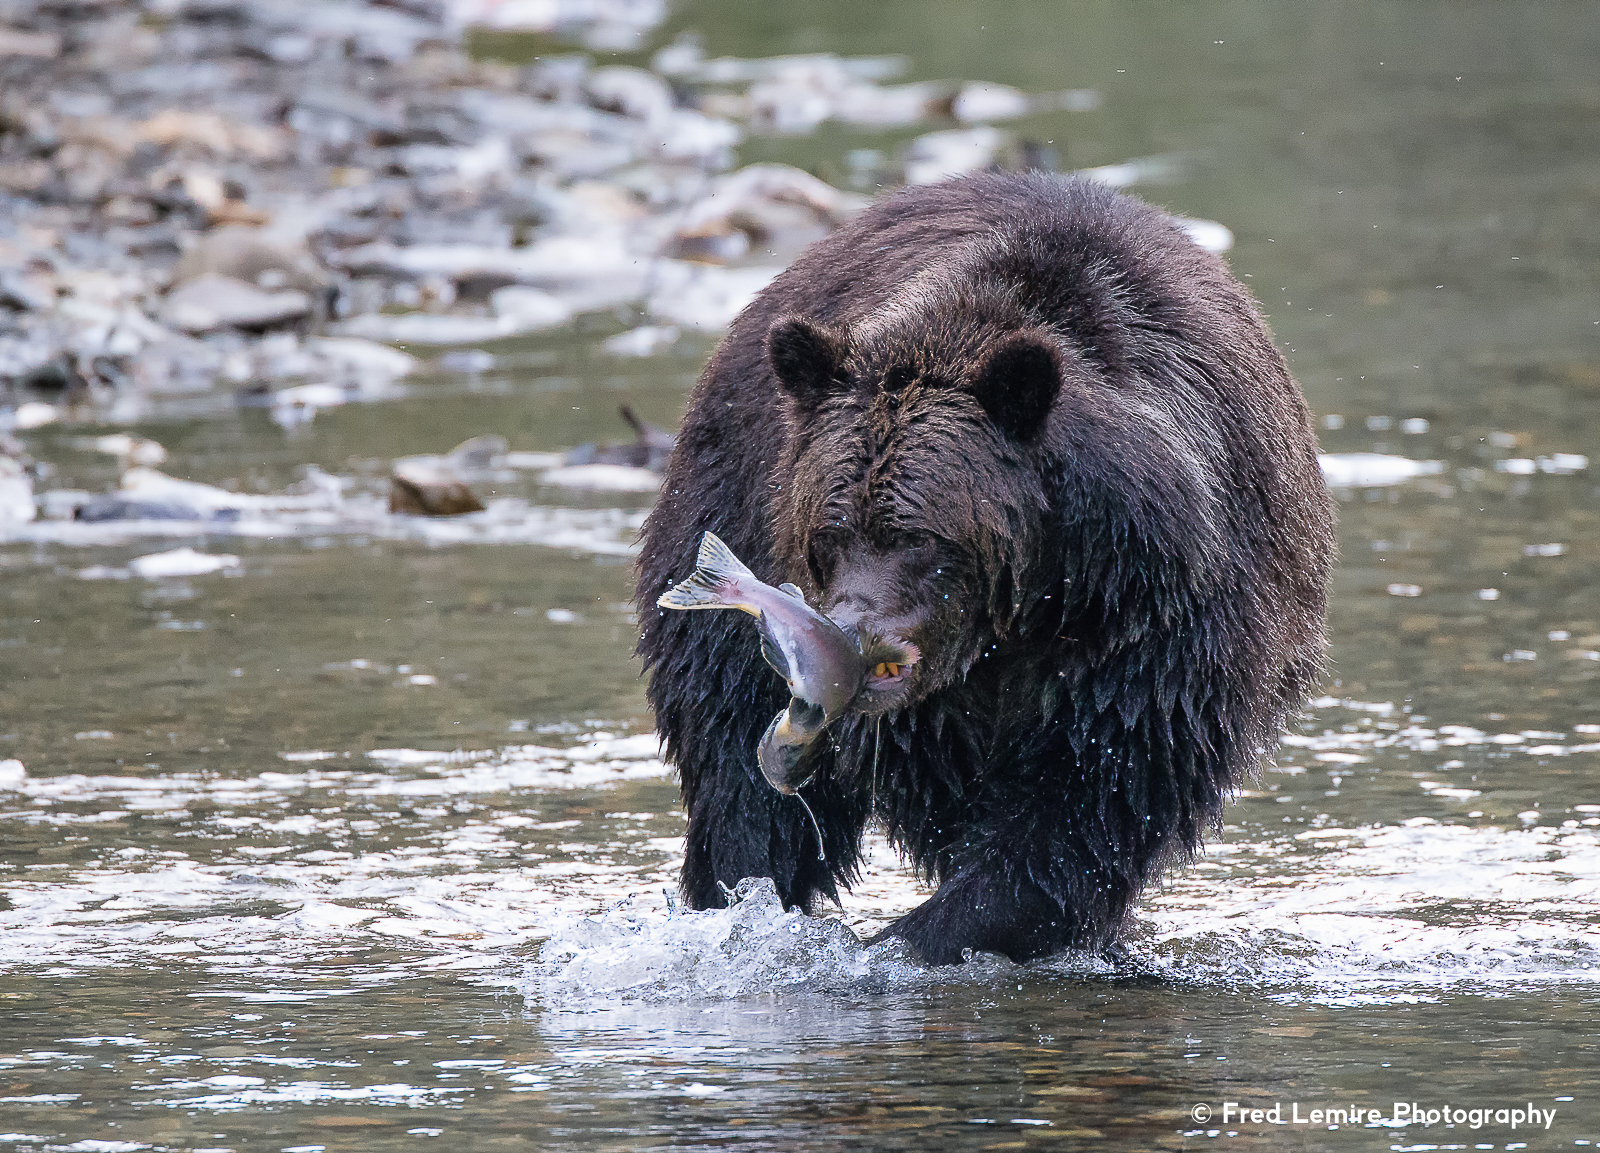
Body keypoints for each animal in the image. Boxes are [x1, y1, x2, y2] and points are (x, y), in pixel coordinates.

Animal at [630, 168, 1331, 959]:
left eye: (918, 537)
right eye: (831, 530)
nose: (848, 633)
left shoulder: (1156, 628)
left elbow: (1091, 798)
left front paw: (924, 934)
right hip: (726, 497)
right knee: (732, 760)